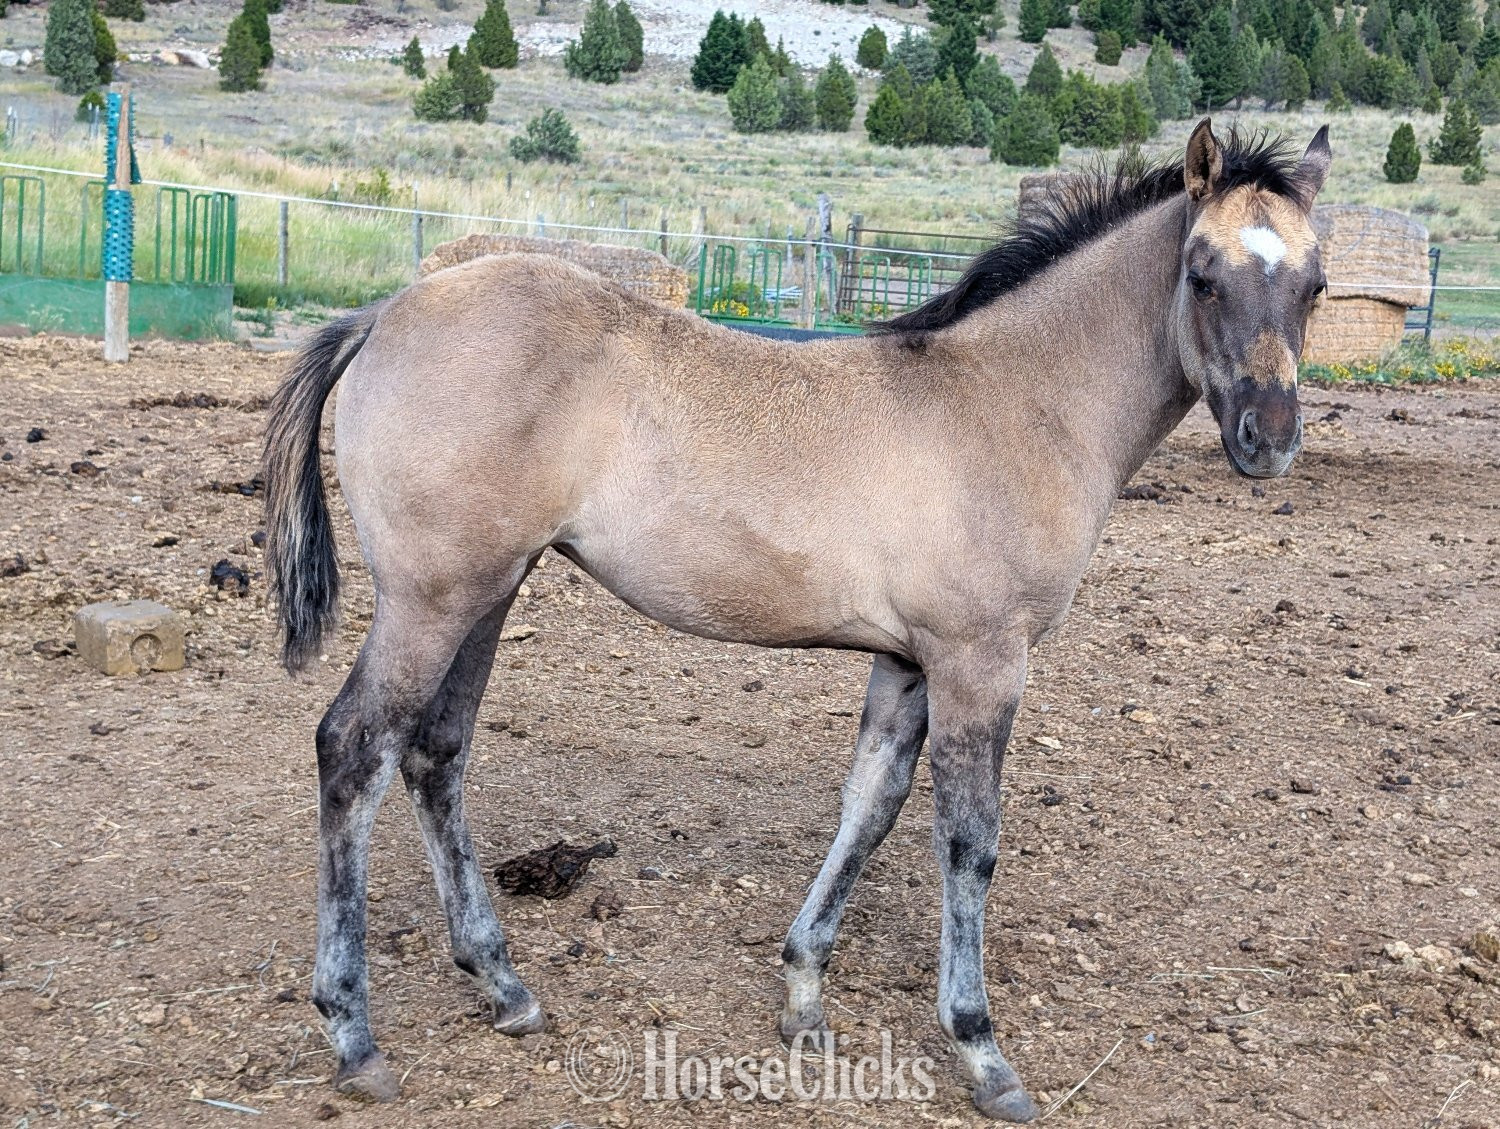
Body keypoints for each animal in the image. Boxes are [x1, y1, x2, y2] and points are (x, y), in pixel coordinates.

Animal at [262, 118, 1331, 1121]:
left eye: (1316, 284)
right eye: (1202, 275)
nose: (1268, 439)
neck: (1012, 402)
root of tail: (385, 313)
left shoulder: (908, 662)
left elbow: (870, 805)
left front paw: (803, 990)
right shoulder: (981, 660)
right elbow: (969, 840)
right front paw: (980, 1047)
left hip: (490, 589)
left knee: (435, 752)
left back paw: (503, 983)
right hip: (431, 600)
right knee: (354, 748)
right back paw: (354, 1032)